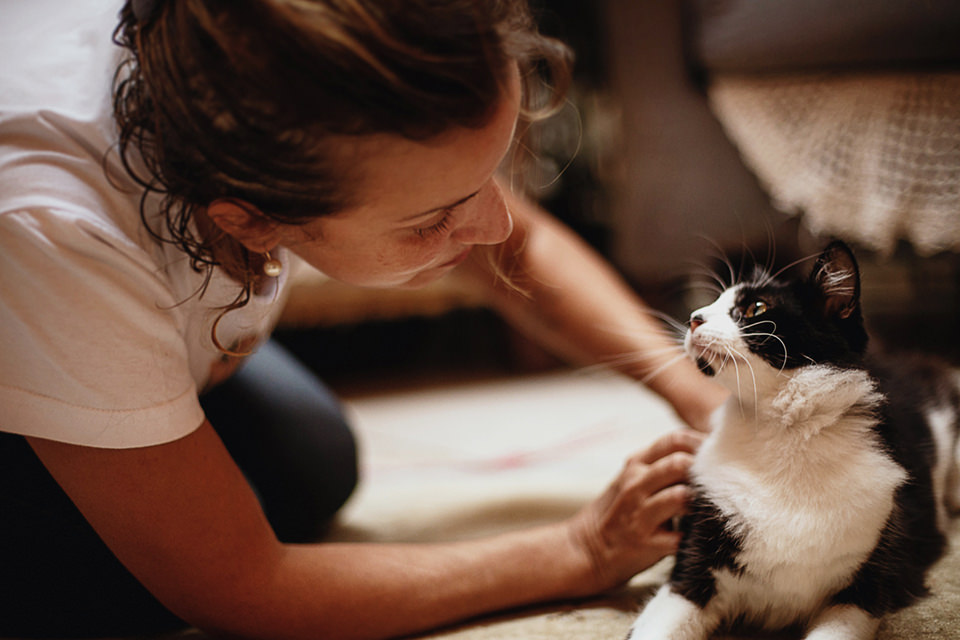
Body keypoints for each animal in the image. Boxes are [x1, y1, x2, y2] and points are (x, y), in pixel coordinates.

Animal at [632, 241, 960, 640]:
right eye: (713, 302)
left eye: (755, 308)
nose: (694, 318)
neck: (784, 433)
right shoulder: (691, 573)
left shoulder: (865, 589)